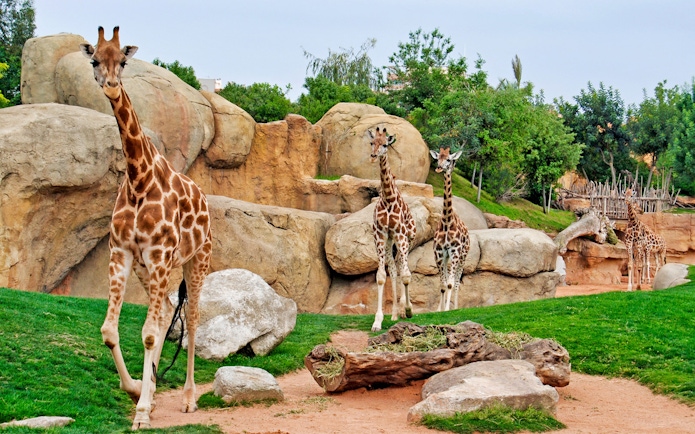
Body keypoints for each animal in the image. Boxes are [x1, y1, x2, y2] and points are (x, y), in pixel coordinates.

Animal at [80, 27, 212, 430]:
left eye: (123, 60)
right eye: (95, 60)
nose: (111, 87)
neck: (139, 179)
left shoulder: (159, 255)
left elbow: (151, 335)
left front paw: (141, 412)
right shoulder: (122, 253)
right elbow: (110, 331)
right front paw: (139, 391)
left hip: (196, 259)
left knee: (193, 320)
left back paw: (188, 398)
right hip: (151, 269)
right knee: (169, 310)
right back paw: (154, 394)